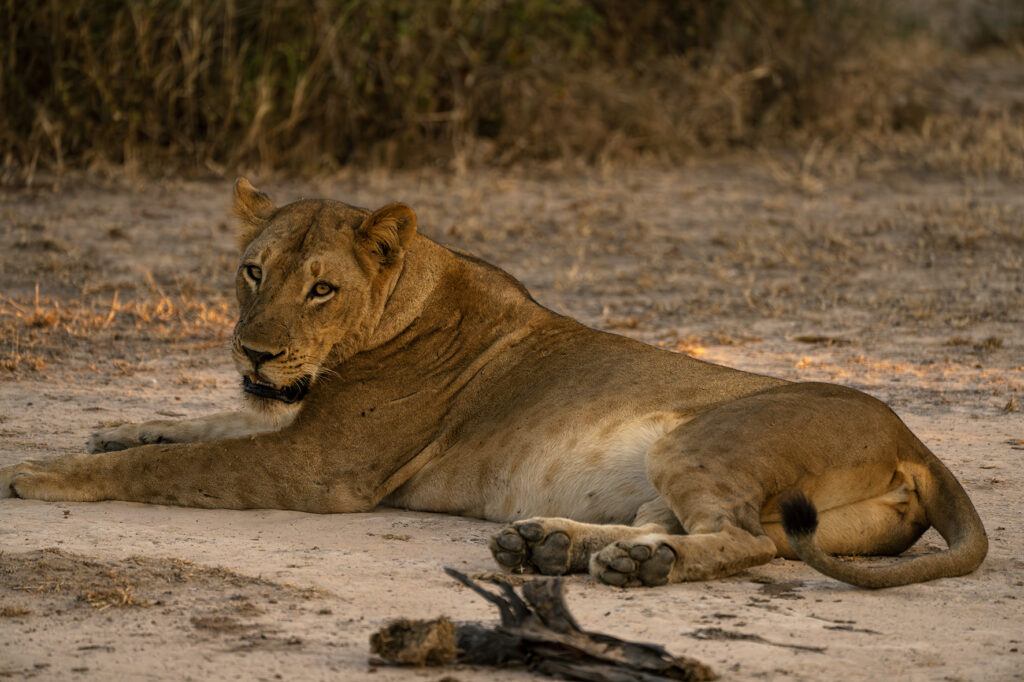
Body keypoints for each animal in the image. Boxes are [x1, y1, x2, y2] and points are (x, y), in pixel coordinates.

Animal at [0, 179, 987, 588]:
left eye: (320, 288)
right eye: (252, 271)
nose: (254, 354)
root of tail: (917, 442)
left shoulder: (320, 470)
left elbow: (175, 465)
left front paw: (45, 472)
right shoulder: (288, 425)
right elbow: (202, 425)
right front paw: (120, 425)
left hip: (703, 438)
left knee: (744, 539)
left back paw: (633, 566)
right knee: (692, 526)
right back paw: (558, 546)